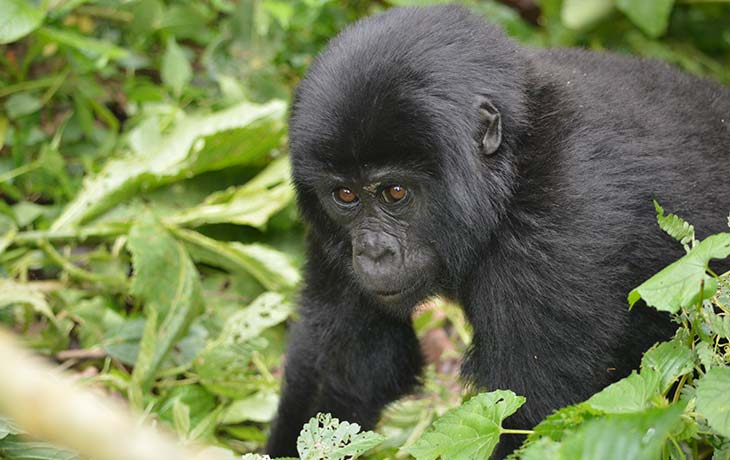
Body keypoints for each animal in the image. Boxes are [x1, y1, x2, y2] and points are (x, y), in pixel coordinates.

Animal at [266, 5, 728, 458]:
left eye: (395, 192)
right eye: (345, 195)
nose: (372, 252)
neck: (516, 165)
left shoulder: (560, 229)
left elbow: (534, 416)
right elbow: (341, 370)